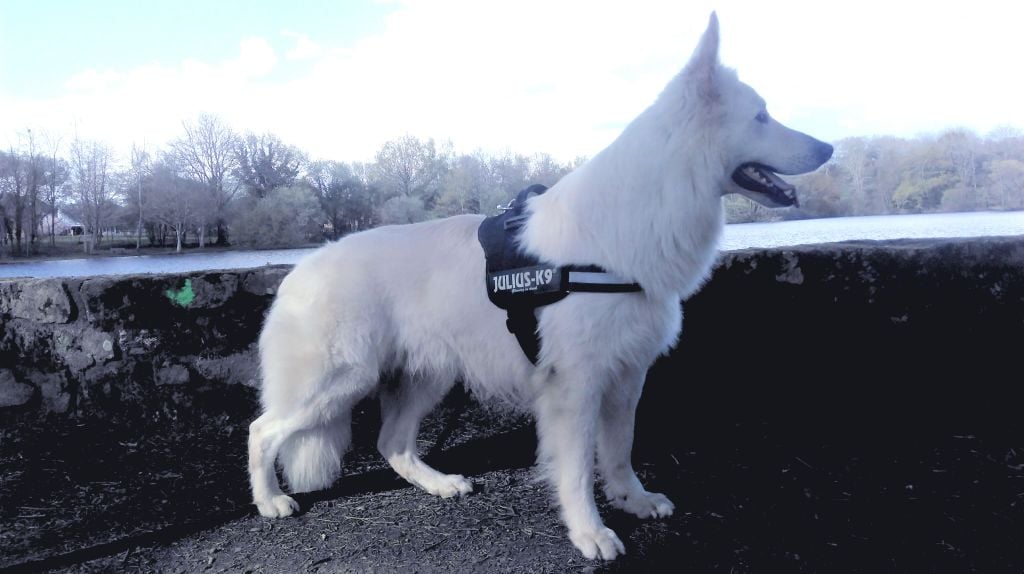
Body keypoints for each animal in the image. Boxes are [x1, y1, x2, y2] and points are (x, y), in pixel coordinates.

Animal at [248, 12, 833, 561]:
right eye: (761, 116)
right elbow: (575, 470)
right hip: (336, 382)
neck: (631, 222)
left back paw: (439, 485)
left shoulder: (627, 376)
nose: (829, 148)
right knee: (262, 431)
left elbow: (619, 451)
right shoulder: (574, 386)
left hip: (426, 378)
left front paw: (633, 500)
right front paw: (590, 532)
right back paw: (270, 500)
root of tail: (299, 271)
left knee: (392, 444)